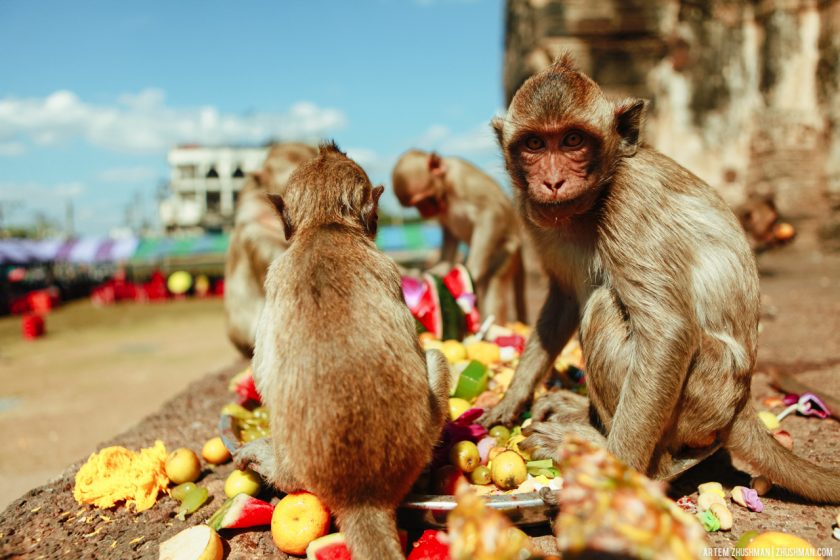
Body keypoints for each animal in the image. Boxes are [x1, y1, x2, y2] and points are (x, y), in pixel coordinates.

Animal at [392, 149, 524, 324]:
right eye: (416, 206)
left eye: (424, 201)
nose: (424, 212)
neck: (447, 187)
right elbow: (449, 232)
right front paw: (442, 266)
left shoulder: (461, 178)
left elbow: (491, 210)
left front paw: (472, 269)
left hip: (507, 250)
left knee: (494, 280)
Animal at [480, 55, 840, 504]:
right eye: (534, 145)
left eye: (572, 141)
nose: (553, 181)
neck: (589, 206)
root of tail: (742, 402)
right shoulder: (532, 211)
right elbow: (562, 299)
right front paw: (512, 397)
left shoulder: (630, 203)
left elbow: (668, 330)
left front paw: (610, 480)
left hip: (703, 395)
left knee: (604, 308)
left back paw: (614, 451)